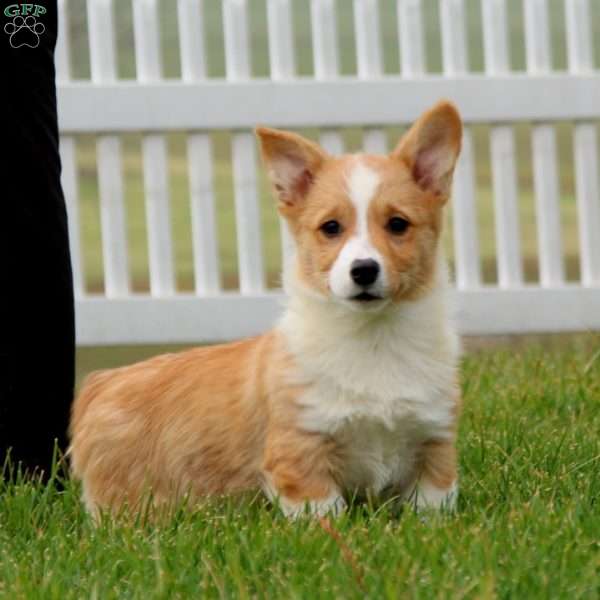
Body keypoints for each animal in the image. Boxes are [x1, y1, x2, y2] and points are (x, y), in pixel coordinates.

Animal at [70, 101, 464, 516]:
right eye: (331, 227)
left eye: (398, 224)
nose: (364, 270)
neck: (374, 339)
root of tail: (99, 384)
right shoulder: (302, 451)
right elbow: (326, 514)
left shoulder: (433, 444)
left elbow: (431, 508)